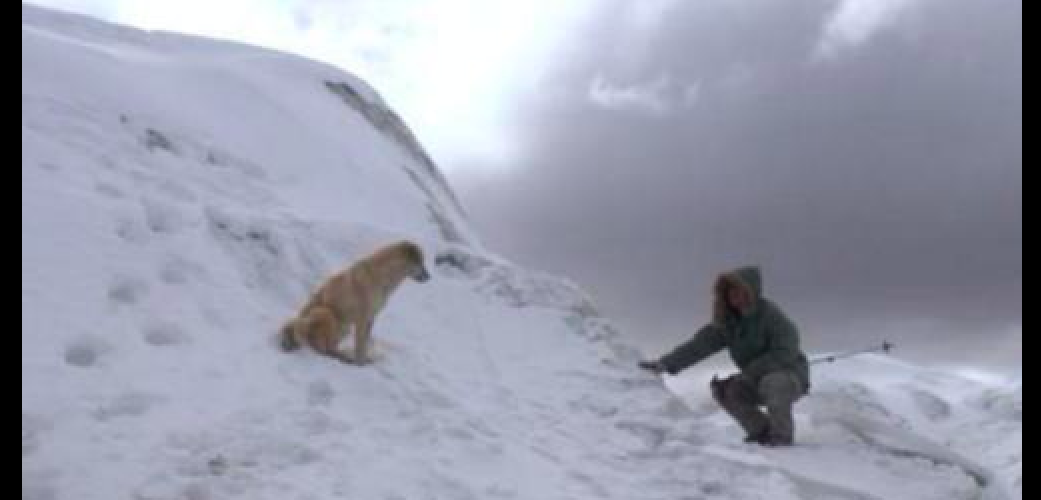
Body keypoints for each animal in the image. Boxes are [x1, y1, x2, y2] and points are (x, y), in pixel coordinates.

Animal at [278, 240, 428, 364]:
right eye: (420, 262)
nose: (429, 276)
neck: (381, 276)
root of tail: (292, 328)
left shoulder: (371, 318)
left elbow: (365, 342)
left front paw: (365, 359)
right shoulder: (362, 318)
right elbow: (360, 345)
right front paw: (360, 363)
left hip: (345, 327)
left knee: (327, 346)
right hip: (324, 312)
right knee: (322, 349)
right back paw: (344, 358)